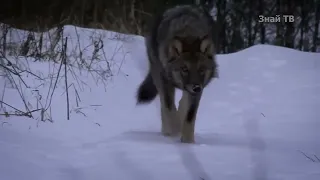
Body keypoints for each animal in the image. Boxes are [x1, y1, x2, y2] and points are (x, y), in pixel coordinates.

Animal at [136, 4, 220, 143]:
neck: (188, 33)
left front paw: (187, 142)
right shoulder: (165, 81)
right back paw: (167, 131)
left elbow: (190, 116)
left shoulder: (198, 90)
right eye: (184, 69)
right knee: (164, 107)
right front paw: (174, 132)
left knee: (181, 103)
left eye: (201, 70)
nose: (196, 88)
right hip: (157, 74)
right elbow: (169, 108)